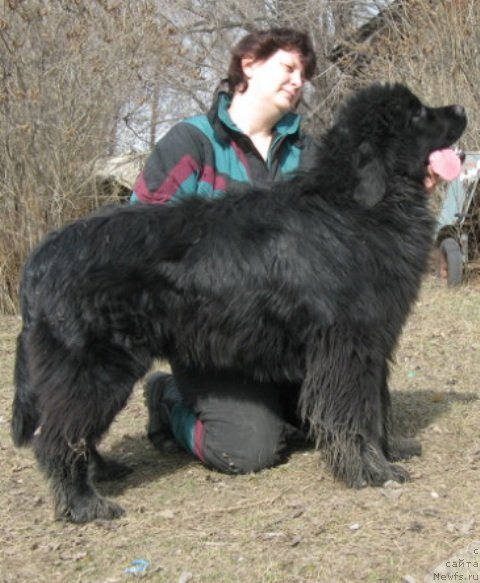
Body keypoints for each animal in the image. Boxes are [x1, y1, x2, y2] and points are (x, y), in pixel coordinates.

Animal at [11, 83, 466, 524]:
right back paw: (84, 504)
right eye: (417, 113)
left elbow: (377, 404)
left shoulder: (373, 343)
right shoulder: (345, 348)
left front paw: (391, 449)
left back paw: (102, 470)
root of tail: (39, 258)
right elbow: (354, 412)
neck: (355, 205)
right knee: (56, 438)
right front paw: (370, 471)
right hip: (92, 369)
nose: (461, 109)